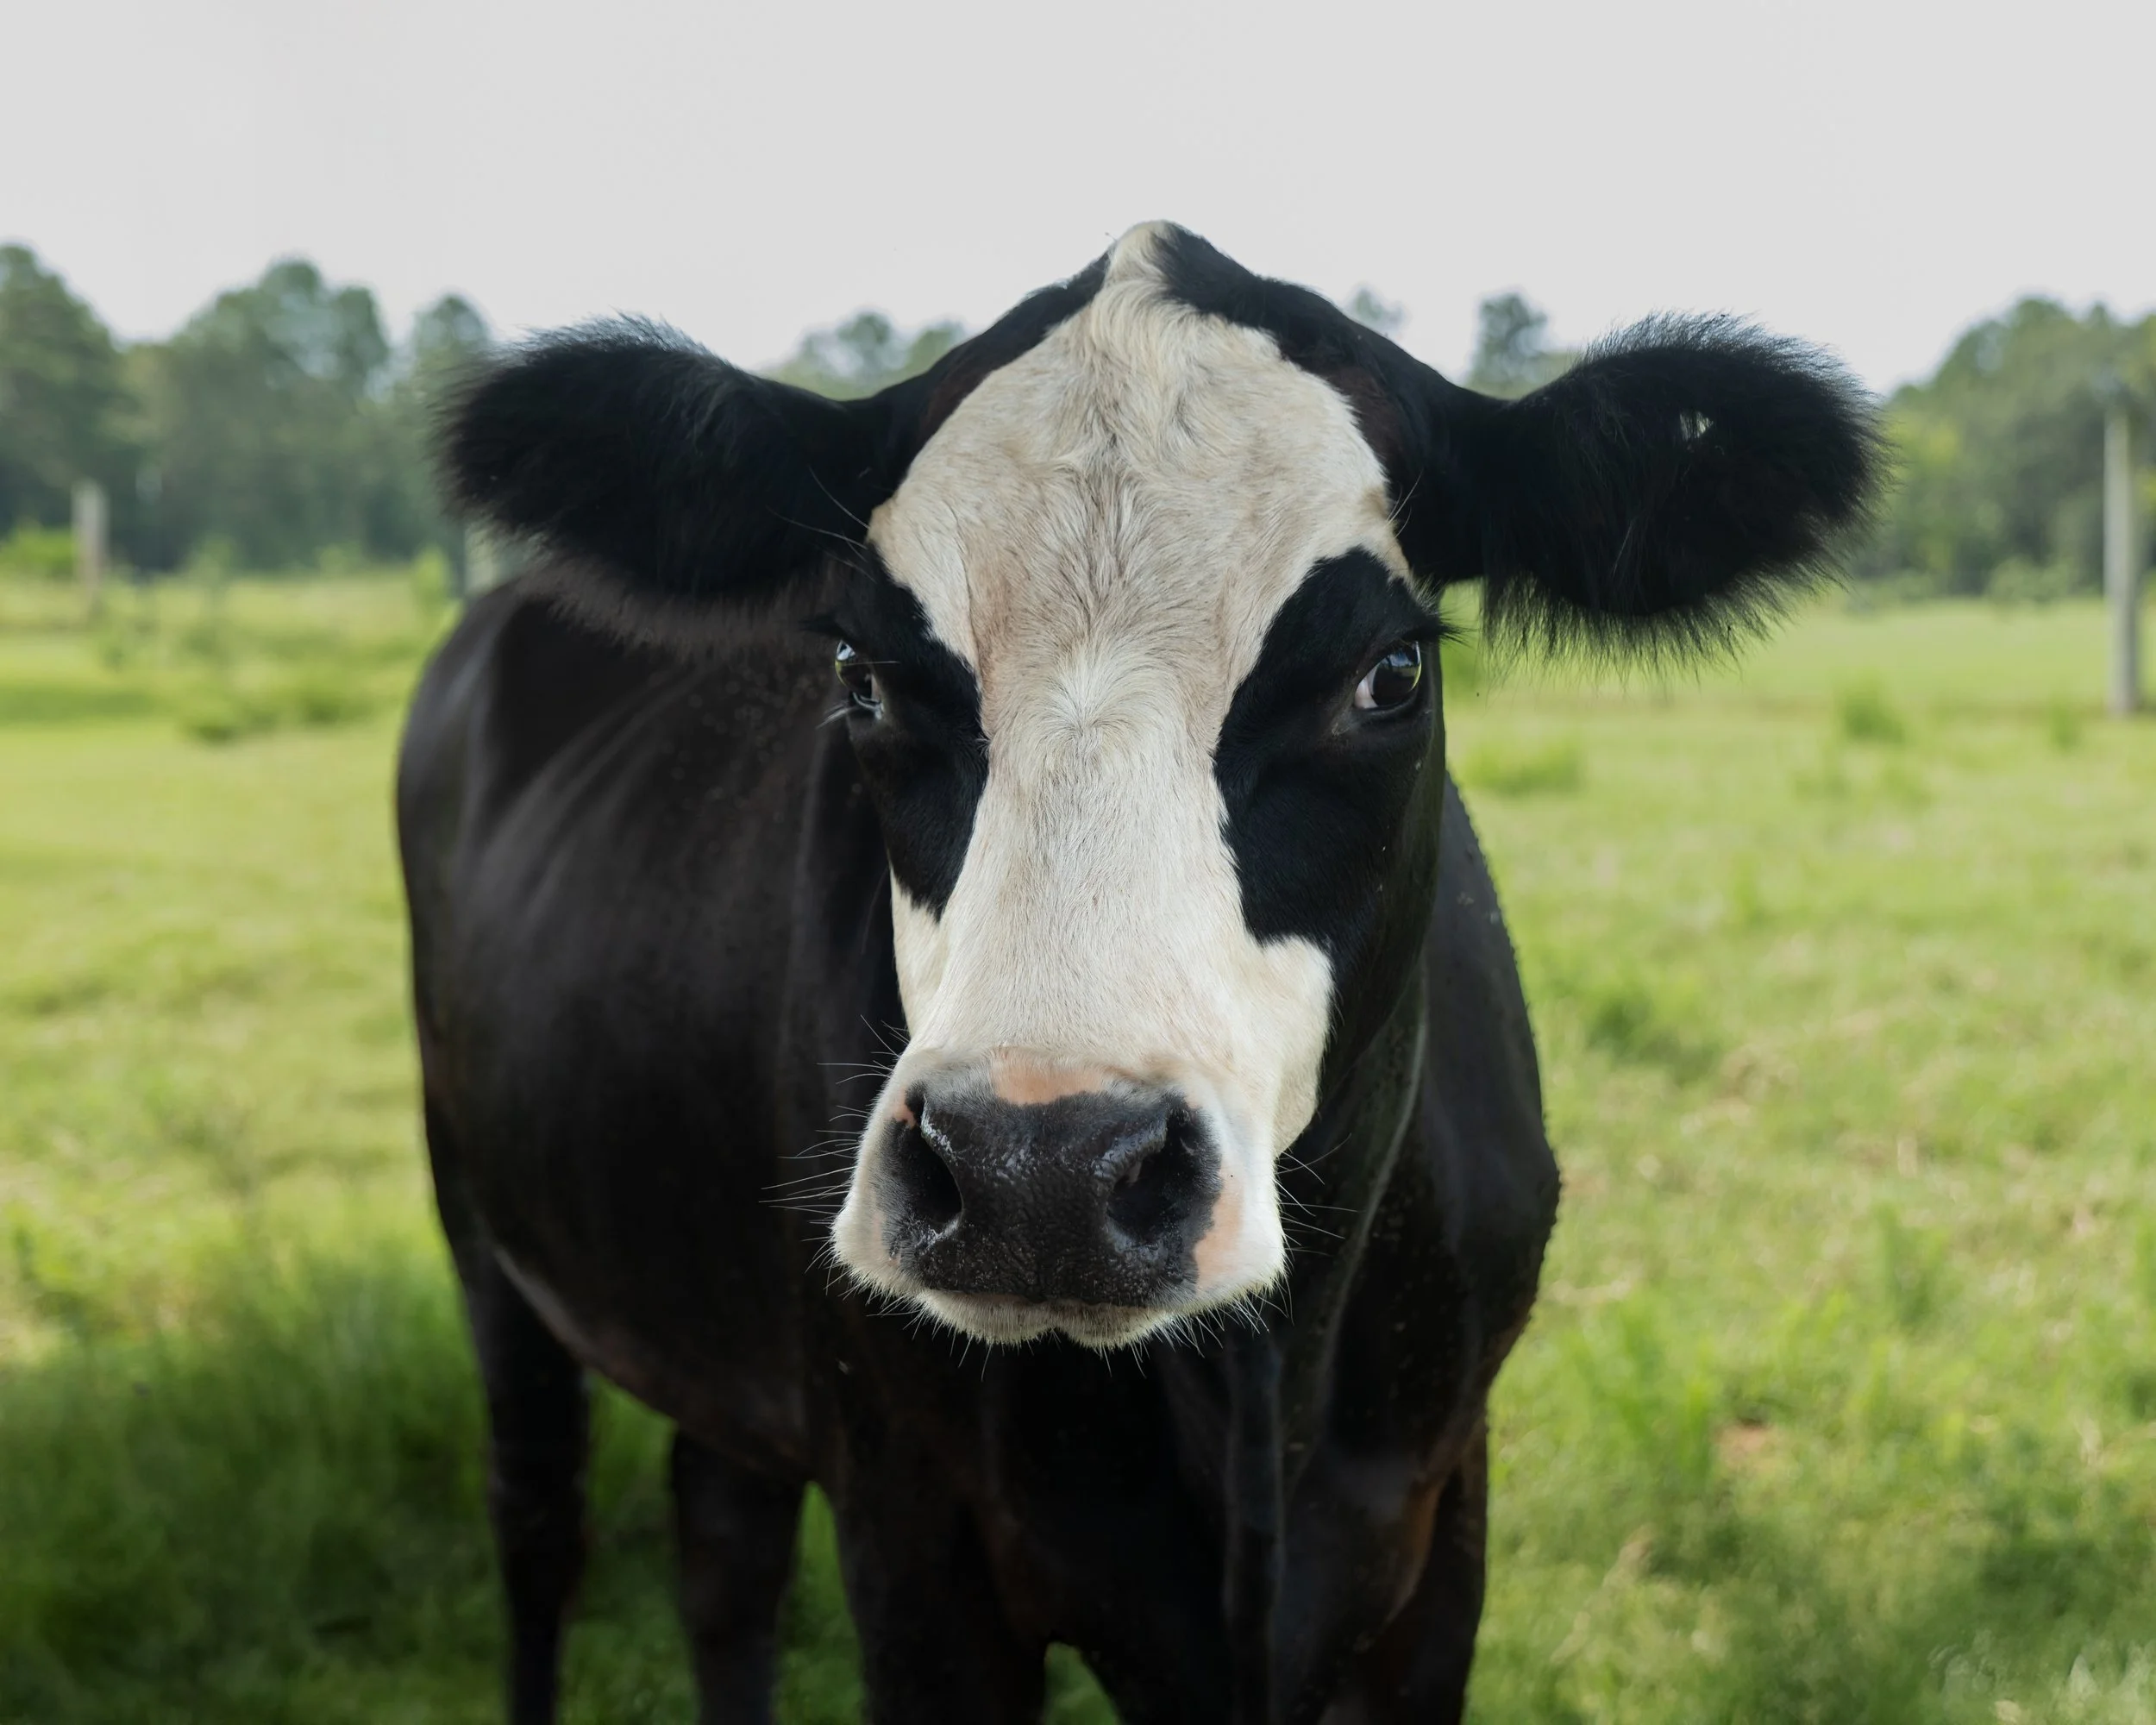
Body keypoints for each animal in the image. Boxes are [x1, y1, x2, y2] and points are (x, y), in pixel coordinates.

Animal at [398, 222, 1876, 1725]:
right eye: (864, 675)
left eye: (1390, 673)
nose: (1035, 1172)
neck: (1263, 1409)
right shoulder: (916, 1538)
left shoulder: (1439, 1535)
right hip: (482, 1225)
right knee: (543, 1526)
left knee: (722, 1549)